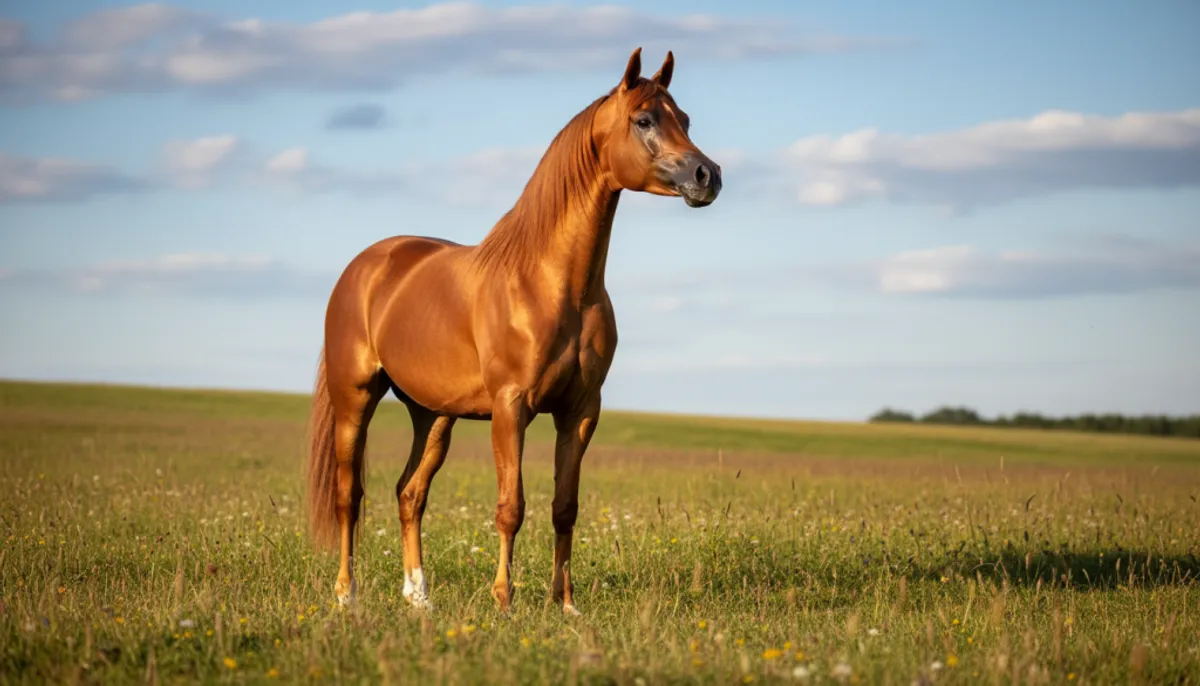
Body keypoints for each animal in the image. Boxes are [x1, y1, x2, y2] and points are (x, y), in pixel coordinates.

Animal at [304, 47, 722, 615]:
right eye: (643, 120)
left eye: (686, 120)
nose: (707, 175)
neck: (551, 283)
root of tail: (364, 266)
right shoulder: (510, 407)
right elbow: (511, 506)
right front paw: (504, 599)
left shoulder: (580, 411)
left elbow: (564, 507)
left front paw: (564, 603)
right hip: (356, 398)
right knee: (350, 495)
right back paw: (346, 594)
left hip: (433, 416)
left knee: (410, 494)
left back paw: (418, 596)